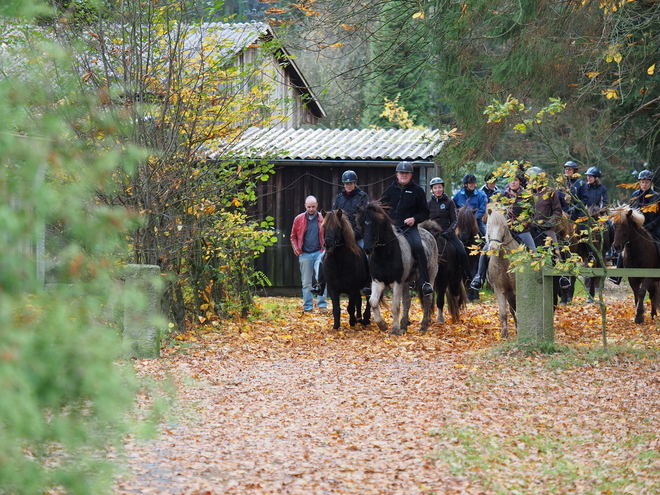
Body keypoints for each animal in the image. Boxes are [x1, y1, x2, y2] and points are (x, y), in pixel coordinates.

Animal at [356, 202, 438, 338]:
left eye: (375, 224)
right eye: (361, 224)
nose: (367, 249)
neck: (385, 254)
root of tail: (429, 234)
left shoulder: (397, 282)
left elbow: (395, 307)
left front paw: (394, 330)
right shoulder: (378, 282)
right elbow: (373, 302)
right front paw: (383, 325)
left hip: (430, 275)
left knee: (427, 299)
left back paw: (423, 326)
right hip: (406, 282)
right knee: (407, 301)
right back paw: (403, 326)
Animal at [482, 207, 520, 340]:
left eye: (504, 226)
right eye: (488, 225)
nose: (494, 248)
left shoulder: (516, 289)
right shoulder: (499, 290)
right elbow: (503, 313)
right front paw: (504, 334)